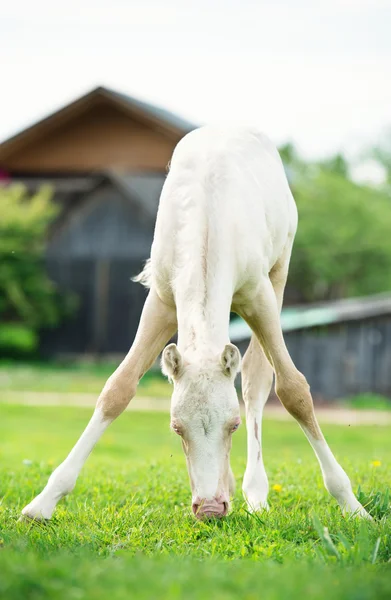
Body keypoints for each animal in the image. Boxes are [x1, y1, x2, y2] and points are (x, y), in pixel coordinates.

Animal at [21, 125, 370, 520]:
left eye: (233, 425)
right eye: (176, 428)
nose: (211, 508)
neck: (207, 220)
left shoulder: (260, 298)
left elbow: (294, 391)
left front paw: (352, 505)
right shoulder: (161, 301)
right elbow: (117, 389)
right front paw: (42, 502)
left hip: (279, 270)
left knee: (256, 379)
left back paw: (256, 491)